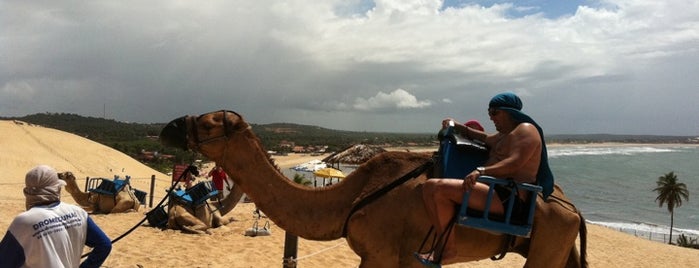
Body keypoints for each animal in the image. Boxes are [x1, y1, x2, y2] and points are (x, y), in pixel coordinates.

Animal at [159, 110, 584, 266]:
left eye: (209, 123)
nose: (170, 127)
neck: (351, 196)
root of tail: (574, 209)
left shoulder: (385, 252)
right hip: (557, 240)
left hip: (550, 235)